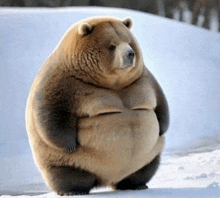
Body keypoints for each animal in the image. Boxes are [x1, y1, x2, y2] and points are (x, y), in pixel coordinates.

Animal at [25, 16, 169, 196]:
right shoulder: (65, 80)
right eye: (111, 46)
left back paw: (135, 184)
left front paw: (162, 128)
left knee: (145, 168)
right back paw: (74, 190)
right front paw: (69, 144)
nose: (130, 54)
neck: (114, 84)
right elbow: (50, 109)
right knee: (68, 174)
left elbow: (159, 101)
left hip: (147, 155)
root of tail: (109, 178)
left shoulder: (141, 78)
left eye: (129, 42)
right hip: (69, 161)